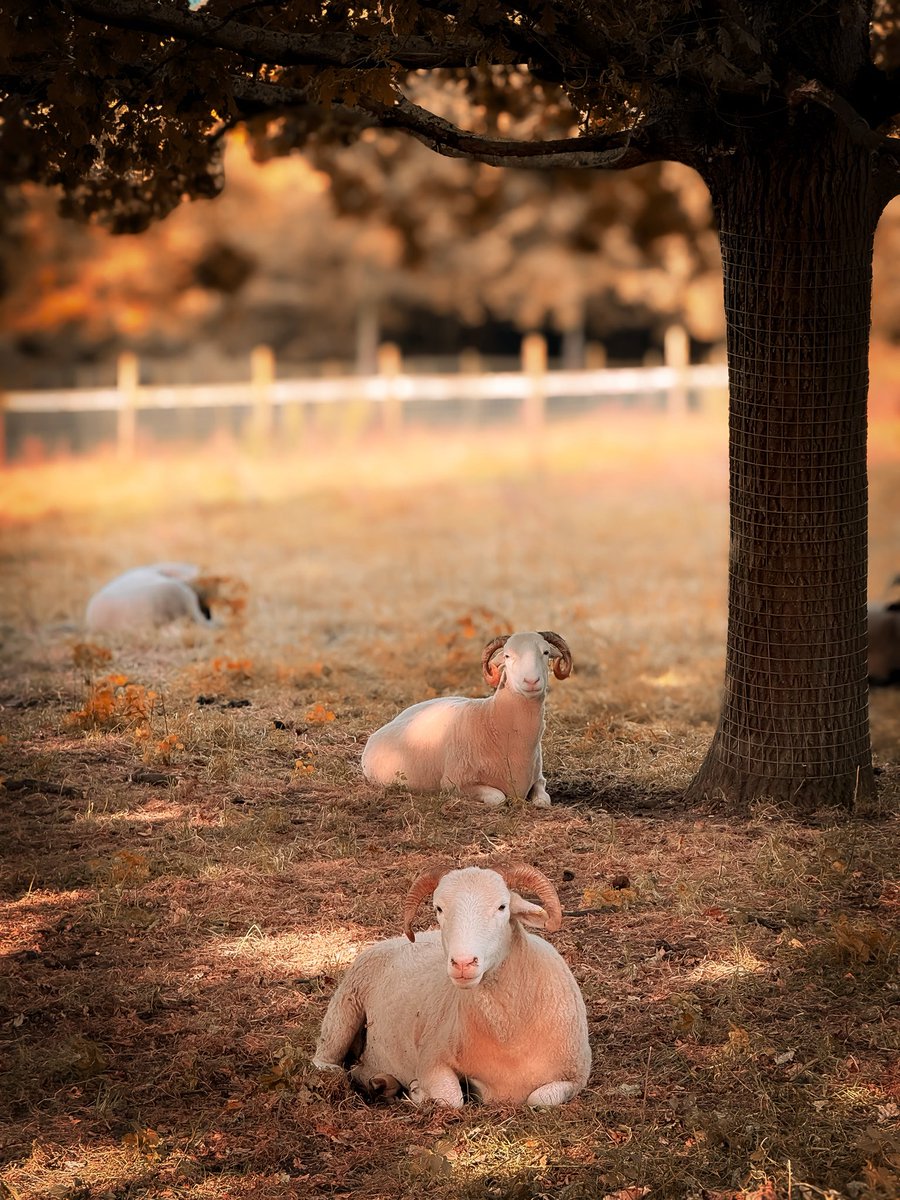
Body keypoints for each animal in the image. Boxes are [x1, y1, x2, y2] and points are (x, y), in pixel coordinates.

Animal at [312, 863, 591, 1107]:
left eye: (502, 906)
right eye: (439, 908)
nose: (463, 963)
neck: (509, 1034)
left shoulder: (576, 1076)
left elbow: (541, 1098)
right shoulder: (432, 1058)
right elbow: (451, 1097)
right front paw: (418, 1091)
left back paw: (382, 1083)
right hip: (344, 1008)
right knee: (327, 1063)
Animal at [361, 630, 573, 806]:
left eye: (546, 652)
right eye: (507, 655)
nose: (531, 681)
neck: (493, 721)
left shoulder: (539, 779)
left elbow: (543, 800)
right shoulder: (454, 783)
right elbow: (498, 797)